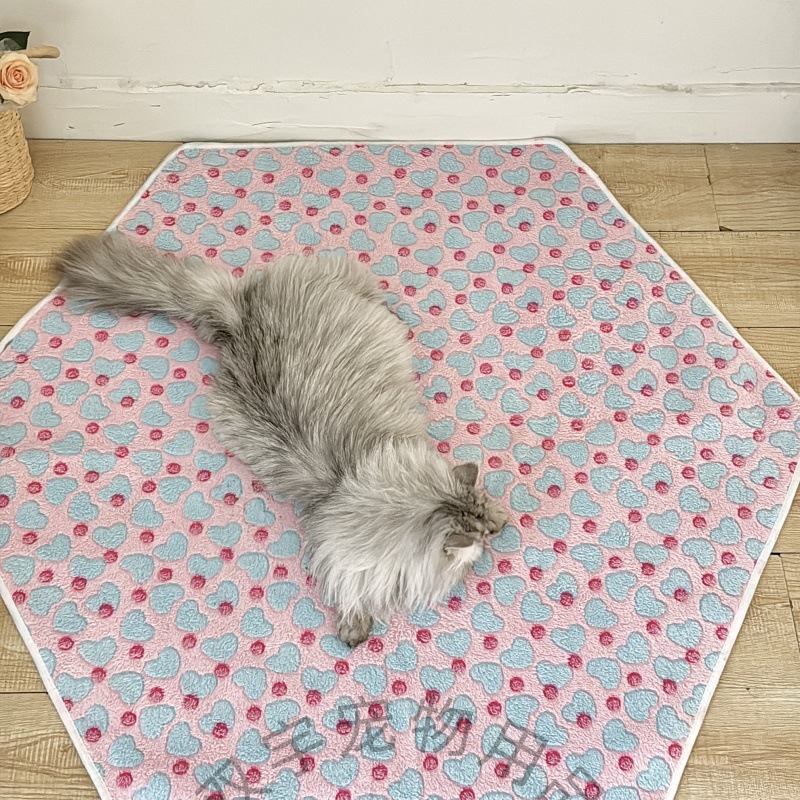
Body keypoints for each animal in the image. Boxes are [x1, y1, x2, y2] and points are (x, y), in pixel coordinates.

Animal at [56, 233, 508, 645]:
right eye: (481, 540)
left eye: (487, 529)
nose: (497, 531)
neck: (347, 480)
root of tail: (238, 310)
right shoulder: (343, 551)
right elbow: (349, 588)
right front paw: (354, 624)